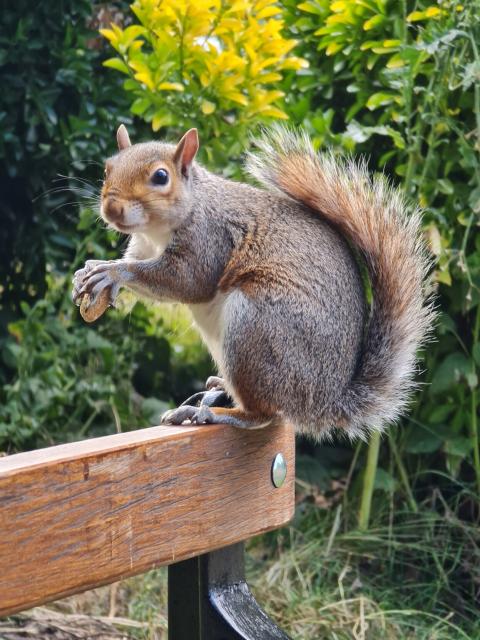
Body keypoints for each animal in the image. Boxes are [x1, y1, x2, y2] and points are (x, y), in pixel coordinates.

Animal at [73, 124, 434, 439]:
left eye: (161, 177)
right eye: (107, 169)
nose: (111, 208)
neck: (156, 232)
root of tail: (322, 401)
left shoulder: (209, 241)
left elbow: (186, 282)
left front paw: (113, 272)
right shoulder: (142, 247)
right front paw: (92, 271)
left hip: (257, 328)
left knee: (263, 415)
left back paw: (211, 414)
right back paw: (220, 390)